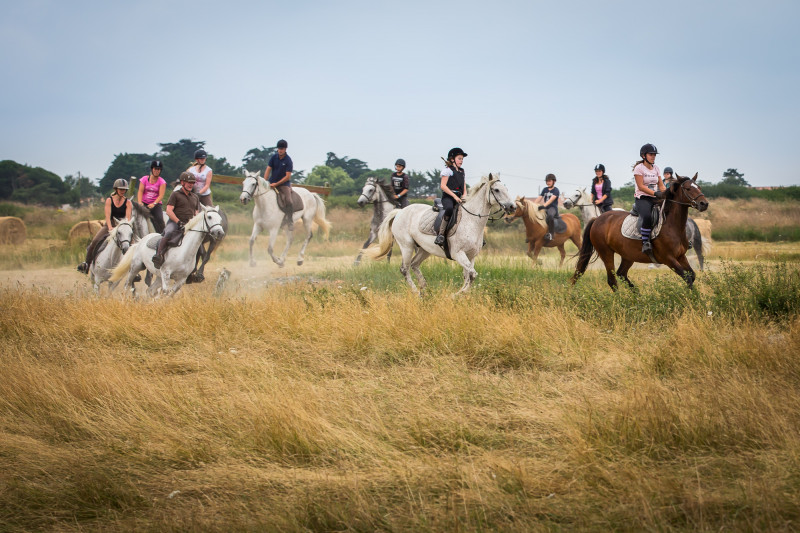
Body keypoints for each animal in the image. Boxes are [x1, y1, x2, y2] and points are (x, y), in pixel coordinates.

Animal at [366, 175, 516, 296]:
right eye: (496, 190)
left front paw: (463, 294)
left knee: (414, 265)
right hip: (407, 246)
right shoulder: (458, 253)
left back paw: (424, 288)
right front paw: (458, 294)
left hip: (424, 249)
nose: (512, 207)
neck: (471, 220)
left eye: (506, 189)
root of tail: (399, 212)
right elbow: (472, 274)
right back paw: (416, 292)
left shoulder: (471, 255)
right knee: (405, 269)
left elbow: (468, 275)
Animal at [572, 174, 708, 290]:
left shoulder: (680, 256)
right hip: (606, 253)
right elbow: (688, 278)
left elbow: (692, 276)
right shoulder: (668, 258)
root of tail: (597, 219)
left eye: (699, 187)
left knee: (621, 274)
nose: (704, 204)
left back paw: (637, 296)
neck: (672, 225)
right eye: (688, 188)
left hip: (628, 255)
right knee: (612, 281)